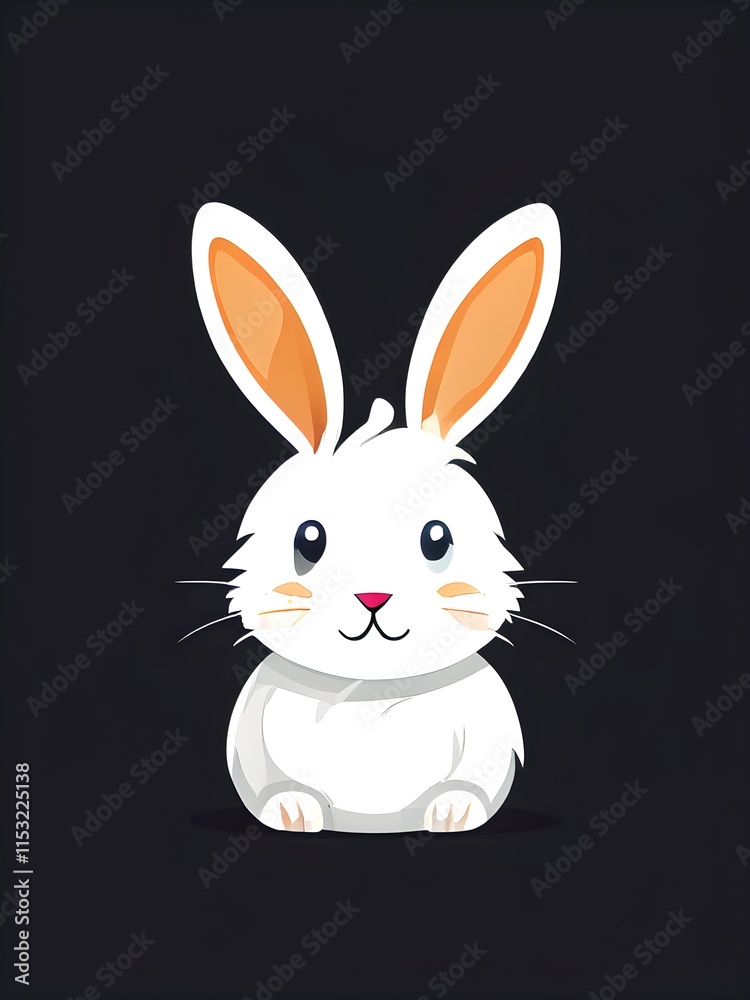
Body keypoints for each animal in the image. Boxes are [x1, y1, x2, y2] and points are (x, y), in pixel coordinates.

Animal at [190, 201, 561, 833]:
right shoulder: (254, 724)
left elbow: (480, 777)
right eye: (308, 540)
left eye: (437, 540)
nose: (373, 598)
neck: (367, 689)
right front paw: (292, 810)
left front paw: (454, 810)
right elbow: (264, 781)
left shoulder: (489, 719)